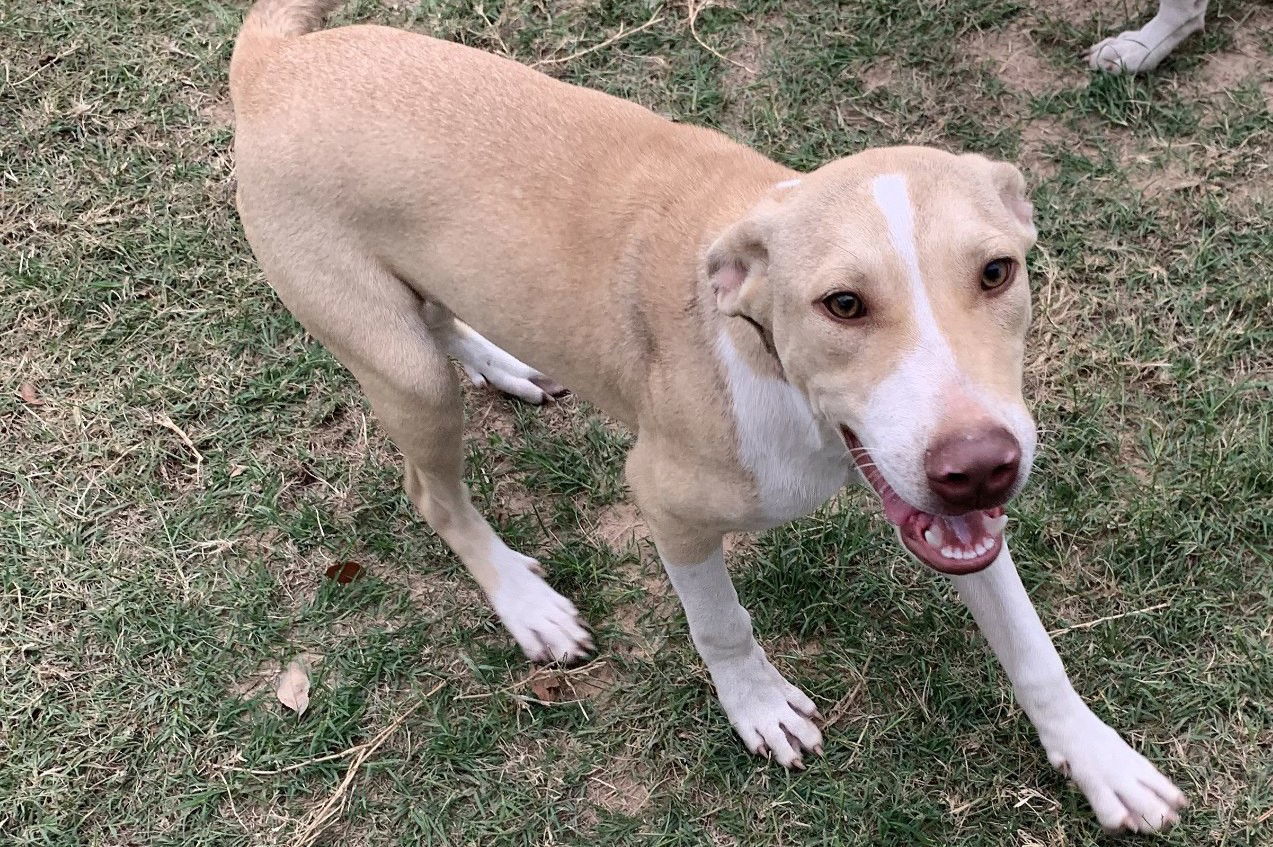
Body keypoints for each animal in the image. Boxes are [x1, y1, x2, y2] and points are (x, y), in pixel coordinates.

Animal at [234, 0, 1186, 830]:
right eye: (842, 304)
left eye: (996, 272)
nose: (981, 466)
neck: (773, 365)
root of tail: (274, 60)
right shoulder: (667, 500)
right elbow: (721, 622)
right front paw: (758, 704)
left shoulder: (950, 510)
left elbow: (1030, 644)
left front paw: (1098, 758)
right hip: (403, 373)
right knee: (435, 490)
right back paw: (524, 602)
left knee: (441, 321)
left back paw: (499, 360)